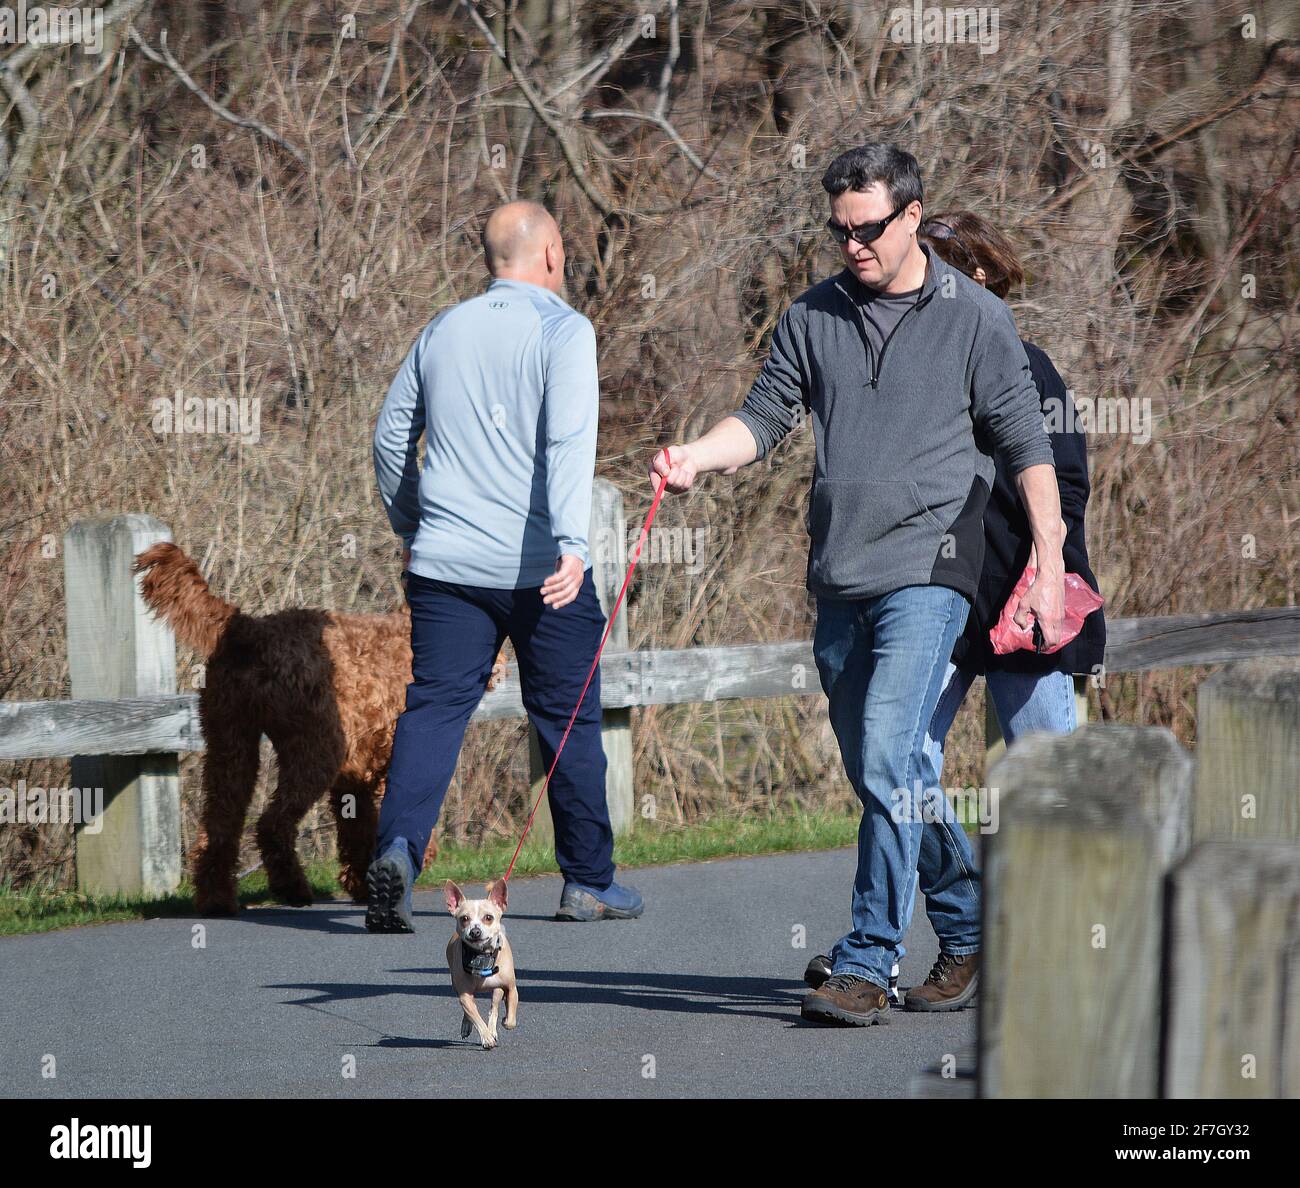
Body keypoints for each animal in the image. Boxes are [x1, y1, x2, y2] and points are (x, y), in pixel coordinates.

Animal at [131, 543, 504, 915]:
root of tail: (248, 629)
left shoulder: (354, 779)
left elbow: (356, 832)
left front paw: (363, 883)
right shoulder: (389, 765)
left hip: (230, 743)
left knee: (220, 825)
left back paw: (217, 899)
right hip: (314, 750)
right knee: (272, 824)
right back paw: (291, 887)